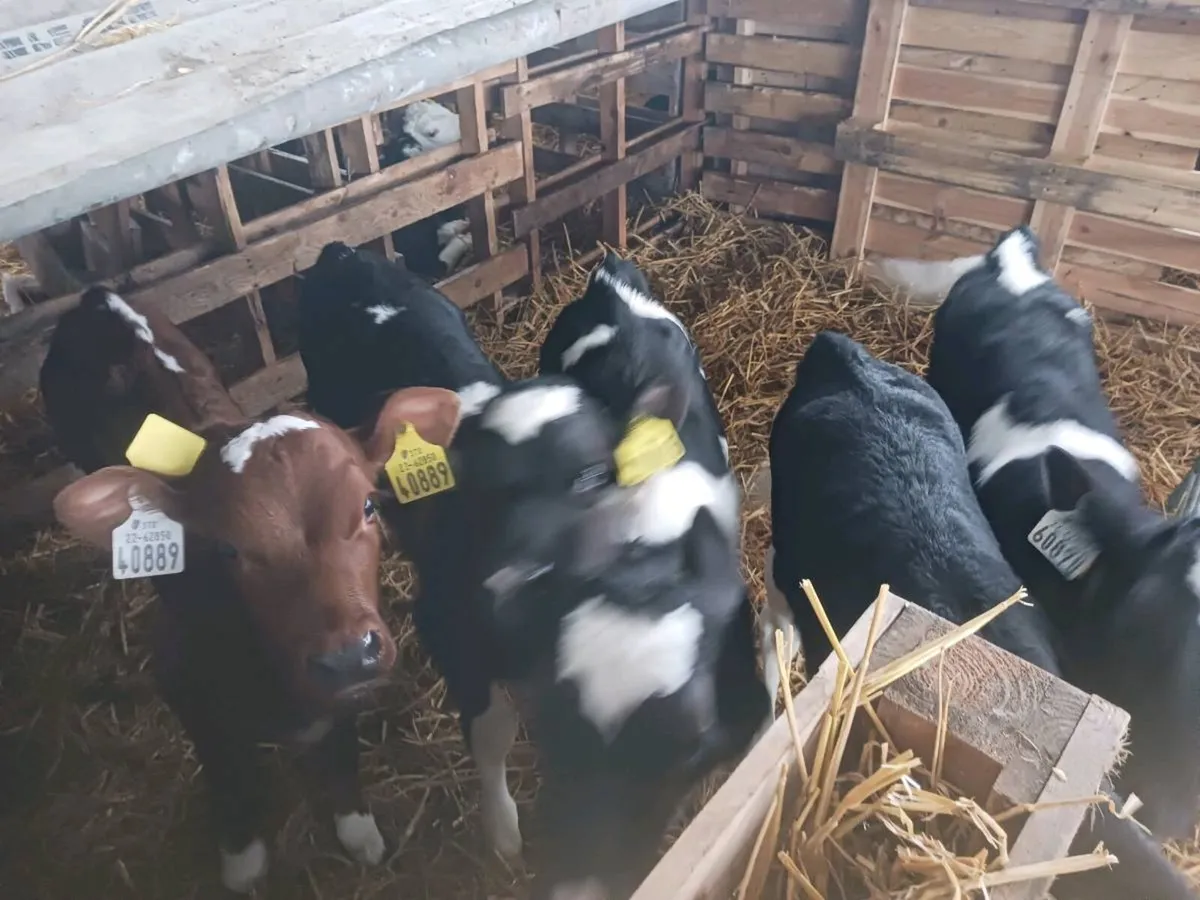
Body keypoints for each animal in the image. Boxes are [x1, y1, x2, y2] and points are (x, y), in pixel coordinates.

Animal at [40, 285, 463, 893]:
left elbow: (341, 750)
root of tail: (97, 295)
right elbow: (230, 779)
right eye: (226, 548)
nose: (348, 656)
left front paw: (357, 828)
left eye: (368, 505)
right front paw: (242, 862)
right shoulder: (185, 687)